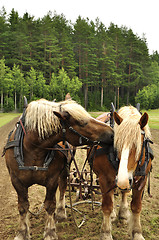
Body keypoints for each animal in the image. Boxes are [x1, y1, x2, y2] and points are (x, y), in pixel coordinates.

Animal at [3, 98, 113, 240]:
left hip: (65, 167)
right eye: (82, 123)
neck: (33, 149)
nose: (112, 133)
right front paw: (22, 232)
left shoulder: (52, 179)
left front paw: (50, 232)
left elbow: (50, 205)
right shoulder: (16, 181)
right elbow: (23, 206)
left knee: (63, 186)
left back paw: (60, 212)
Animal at [93, 106, 153, 240]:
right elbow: (107, 206)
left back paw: (124, 213)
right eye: (117, 143)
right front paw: (106, 232)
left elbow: (136, 206)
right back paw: (113, 215)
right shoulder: (104, 178)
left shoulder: (142, 179)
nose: (122, 180)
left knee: (123, 192)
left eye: (139, 145)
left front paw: (137, 232)